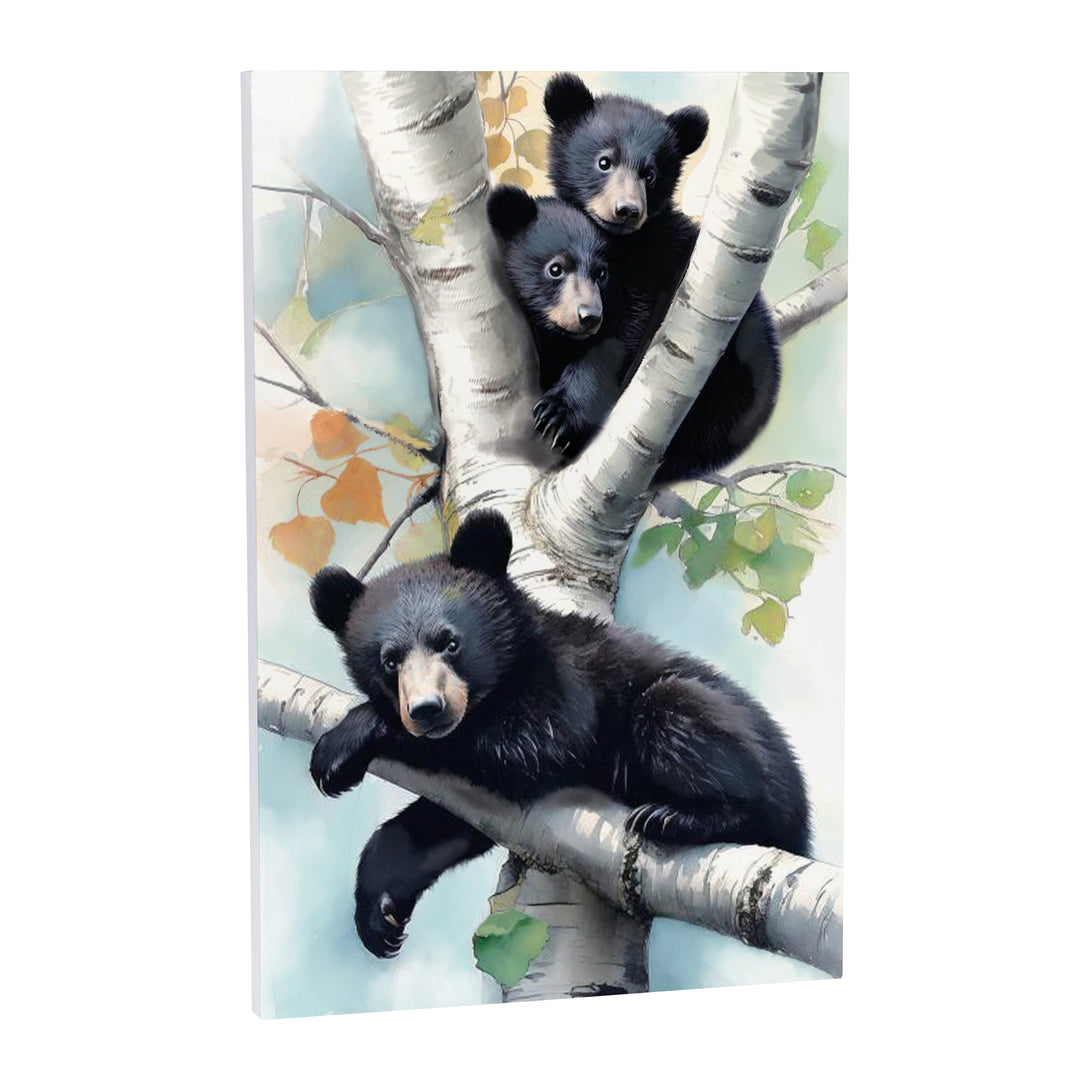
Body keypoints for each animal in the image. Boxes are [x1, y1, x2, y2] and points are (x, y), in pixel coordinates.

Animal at [309, 509, 810, 958]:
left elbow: (536, 746)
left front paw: (344, 742)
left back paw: (675, 816)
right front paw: (380, 911)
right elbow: (442, 823)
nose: (428, 710)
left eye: (450, 643)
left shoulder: (570, 680)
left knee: (686, 725)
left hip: (715, 734)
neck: (511, 669)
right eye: (390, 660)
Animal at [538, 72, 783, 483]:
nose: (627, 210)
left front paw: (561, 413)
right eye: (604, 161)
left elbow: (621, 335)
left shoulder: (659, 269)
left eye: (650, 174)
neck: (623, 245)